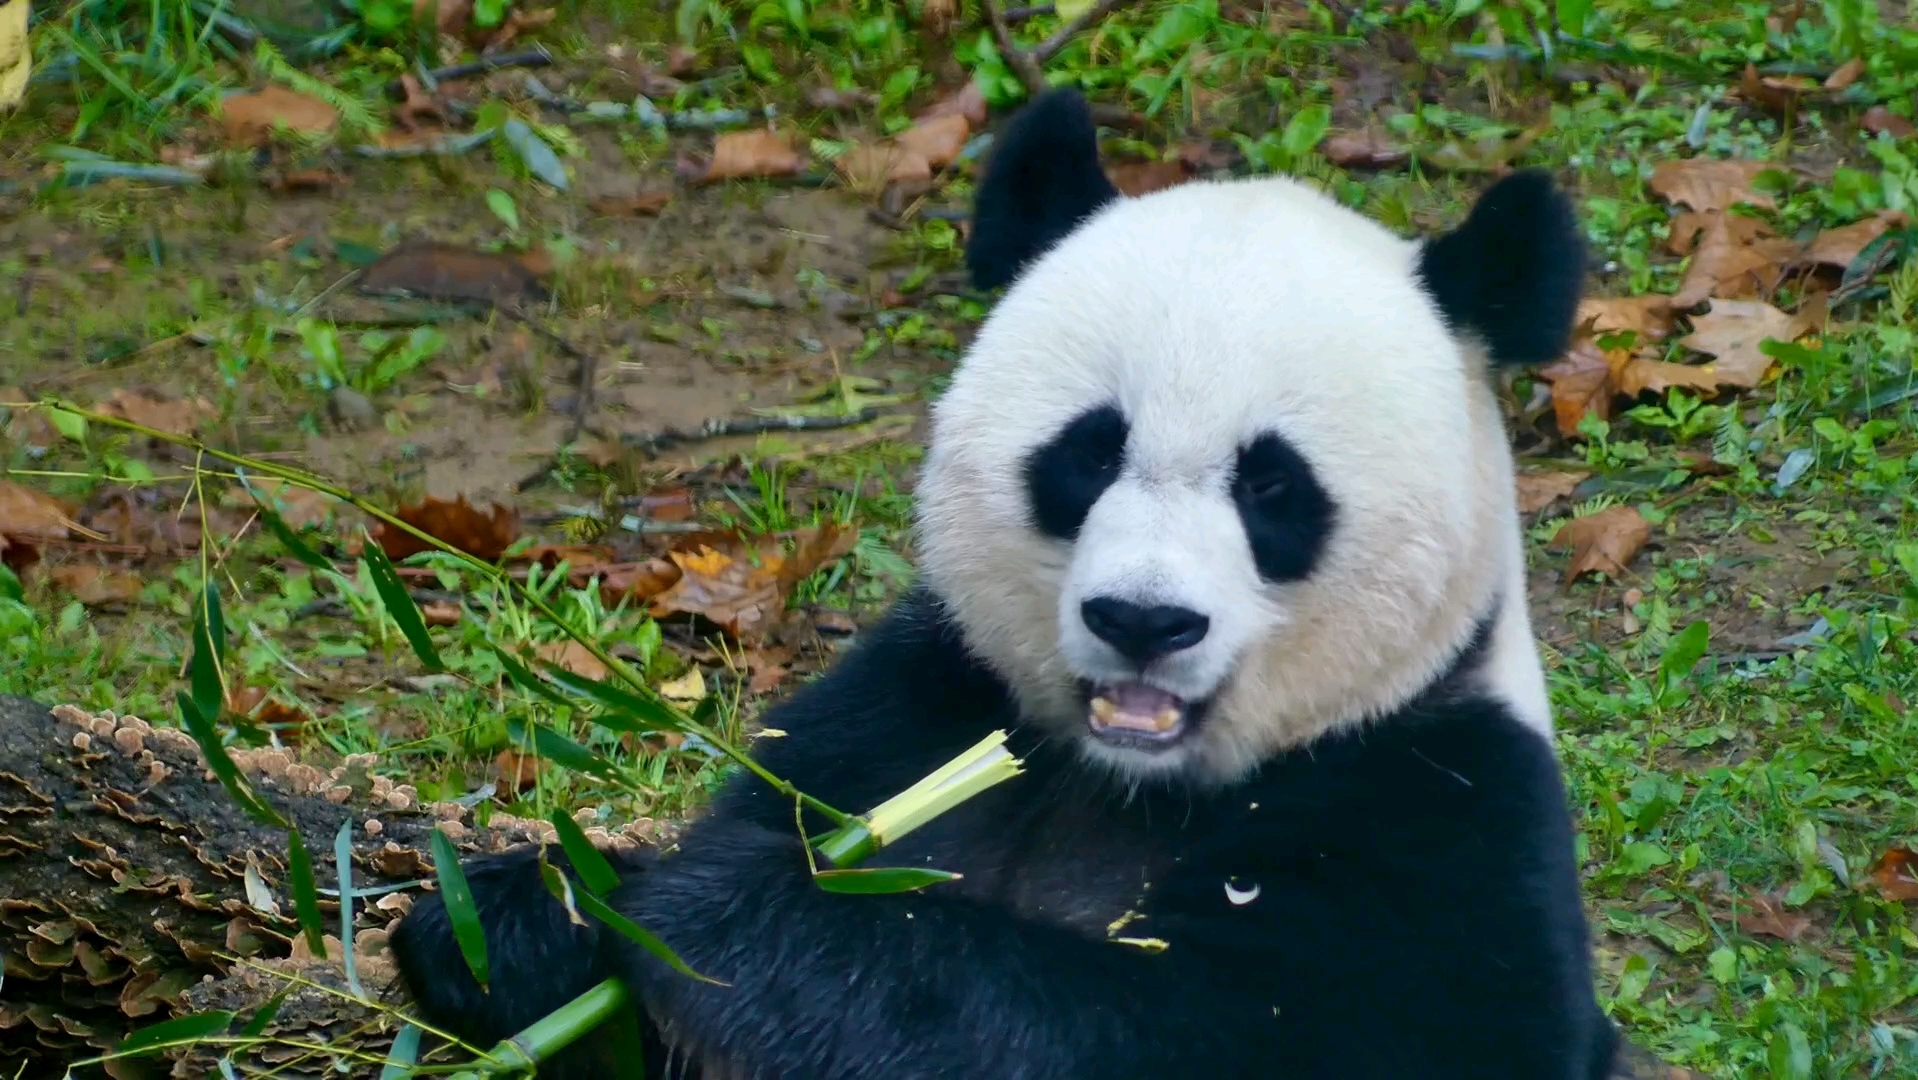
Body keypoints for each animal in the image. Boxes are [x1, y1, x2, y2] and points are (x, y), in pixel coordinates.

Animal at [389, 86, 1618, 1080]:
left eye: (1273, 487)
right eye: (1090, 452)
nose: (1143, 620)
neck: (1119, 782)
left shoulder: (1437, 812)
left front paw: (711, 914)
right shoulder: (910, 709)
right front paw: (518, 918)